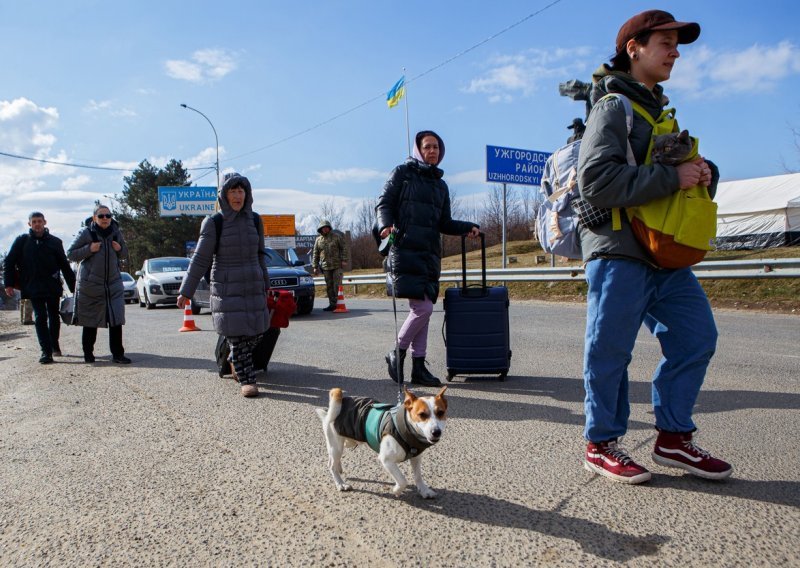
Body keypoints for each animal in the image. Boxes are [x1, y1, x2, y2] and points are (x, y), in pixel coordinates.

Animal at [316, 386, 446, 496]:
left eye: (441, 413)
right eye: (422, 415)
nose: (436, 432)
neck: (406, 428)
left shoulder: (416, 458)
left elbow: (418, 476)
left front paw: (424, 490)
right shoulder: (386, 460)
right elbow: (402, 480)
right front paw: (397, 490)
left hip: (344, 443)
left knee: (333, 460)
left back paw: (339, 469)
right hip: (337, 446)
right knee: (331, 465)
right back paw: (340, 483)